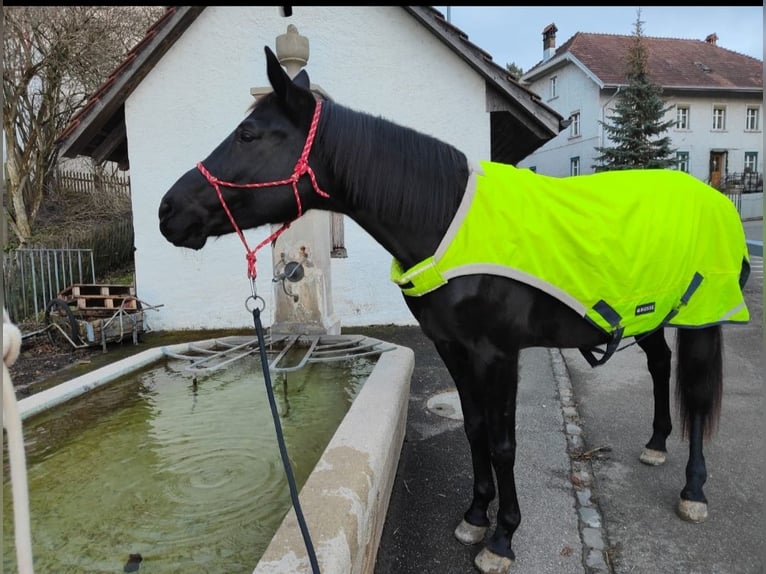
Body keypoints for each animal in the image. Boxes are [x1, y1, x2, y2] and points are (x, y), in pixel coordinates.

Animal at [158, 46, 750, 573]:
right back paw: (655, 443)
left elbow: (504, 442)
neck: (442, 221)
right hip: (651, 317)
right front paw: (475, 516)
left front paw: (503, 539)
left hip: (703, 319)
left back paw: (693, 489)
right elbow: (474, 429)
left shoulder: (498, 355)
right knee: (659, 366)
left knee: (697, 395)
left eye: (249, 134)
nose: (167, 211)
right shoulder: (453, 349)